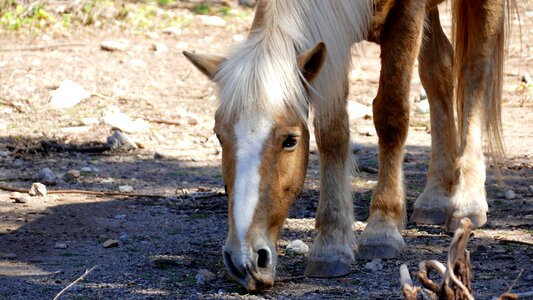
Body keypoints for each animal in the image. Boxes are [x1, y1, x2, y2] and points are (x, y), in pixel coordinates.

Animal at [184, 0, 508, 292]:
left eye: (290, 140)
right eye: (219, 136)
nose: (246, 260)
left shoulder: (407, 15)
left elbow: (391, 114)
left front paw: (382, 228)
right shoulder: (331, 43)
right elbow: (332, 131)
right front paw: (331, 245)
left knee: (476, 74)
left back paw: (468, 200)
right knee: (439, 69)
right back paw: (435, 198)